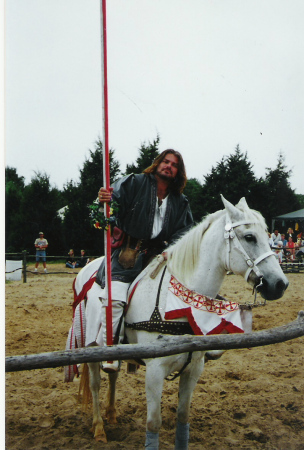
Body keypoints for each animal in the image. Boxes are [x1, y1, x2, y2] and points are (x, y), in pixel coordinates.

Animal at [68, 198, 288, 450]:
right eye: (249, 237)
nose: (280, 284)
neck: (176, 301)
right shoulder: (155, 371)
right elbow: (153, 423)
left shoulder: (193, 370)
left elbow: (183, 417)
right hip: (92, 345)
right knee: (95, 384)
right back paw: (98, 427)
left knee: (112, 374)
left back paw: (112, 414)